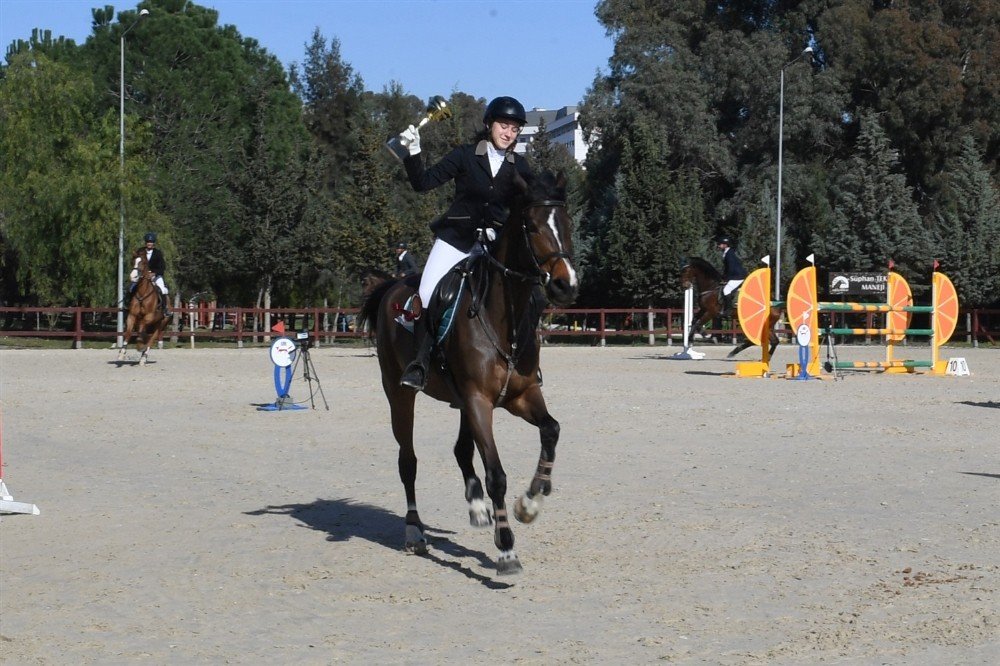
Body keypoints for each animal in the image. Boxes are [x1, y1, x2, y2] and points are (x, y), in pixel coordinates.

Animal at [360, 169, 580, 572]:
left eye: (566, 222)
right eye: (531, 225)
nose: (565, 285)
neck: (504, 316)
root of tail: (392, 287)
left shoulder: (520, 395)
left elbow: (551, 430)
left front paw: (530, 502)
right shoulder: (479, 400)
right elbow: (496, 475)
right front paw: (507, 548)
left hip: (462, 400)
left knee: (461, 450)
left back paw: (478, 508)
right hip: (400, 394)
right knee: (408, 461)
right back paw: (414, 532)